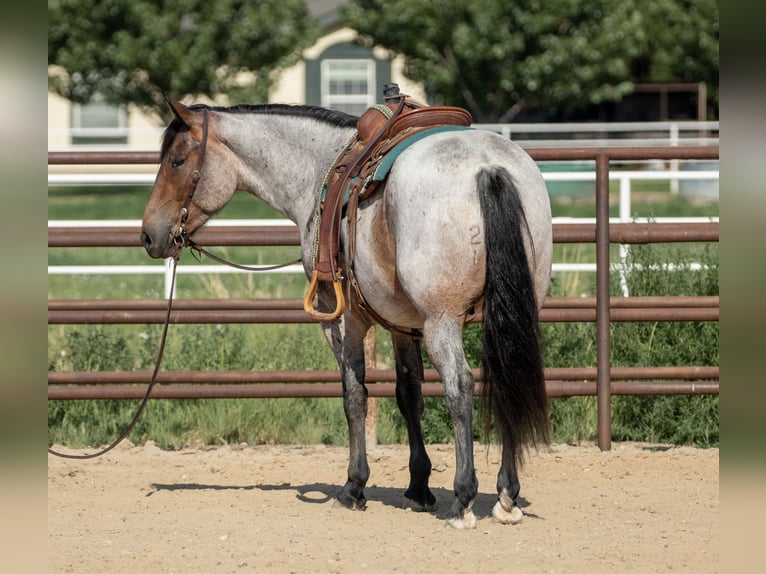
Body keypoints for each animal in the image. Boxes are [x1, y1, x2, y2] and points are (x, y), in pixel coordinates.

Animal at [142, 98, 552, 532]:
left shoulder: (342, 318)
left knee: (460, 386)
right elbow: (409, 393)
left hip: (442, 321)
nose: (149, 235)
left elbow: (354, 395)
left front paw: (354, 486)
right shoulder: (403, 323)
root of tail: (488, 167)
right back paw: (507, 494)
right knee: (507, 379)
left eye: (177, 160)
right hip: (509, 315)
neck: (317, 167)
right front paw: (418, 486)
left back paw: (463, 499)